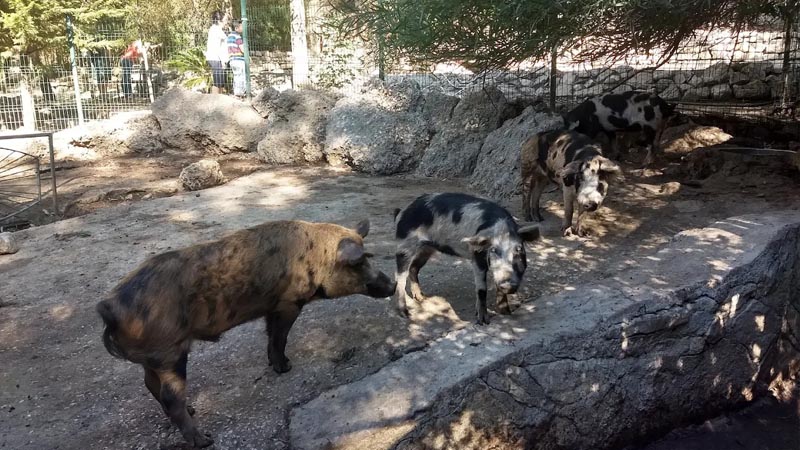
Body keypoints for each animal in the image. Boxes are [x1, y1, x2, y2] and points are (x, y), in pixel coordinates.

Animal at [96, 219, 395, 448]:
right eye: (359, 264)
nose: (392, 284)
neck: (318, 258)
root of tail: (109, 306)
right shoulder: (289, 303)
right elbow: (280, 336)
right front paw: (286, 368)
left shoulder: (273, 306)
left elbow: (271, 336)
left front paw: (278, 365)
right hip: (170, 351)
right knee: (169, 395)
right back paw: (205, 440)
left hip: (155, 355)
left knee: (149, 383)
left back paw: (192, 410)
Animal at [393, 193, 540, 325]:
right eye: (493, 250)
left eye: (519, 249)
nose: (508, 284)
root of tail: (402, 211)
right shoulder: (477, 257)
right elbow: (482, 290)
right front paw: (483, 322)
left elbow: (499, 290)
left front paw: (506, 313)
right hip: (404, 246)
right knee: (400, 277)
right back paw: (405, 314)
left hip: (427, 249)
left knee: (414, 268)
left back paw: (421, 298)